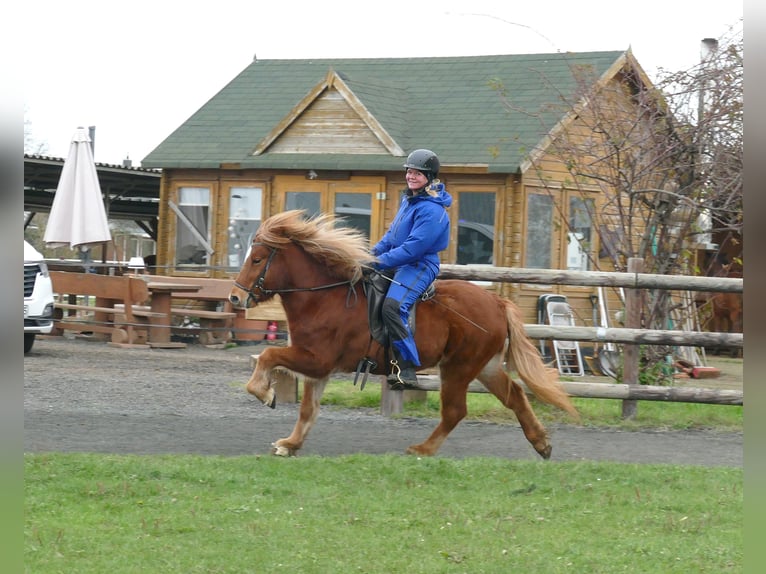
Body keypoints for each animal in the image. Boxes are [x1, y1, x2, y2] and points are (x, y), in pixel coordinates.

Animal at [229, 210, 578, 458]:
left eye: (257, 259)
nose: (234, 297)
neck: (325, 297)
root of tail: (497, 301)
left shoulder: (316, 360)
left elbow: (269, 356)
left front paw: (266, 394)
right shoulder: (318, 369)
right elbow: (307, 410)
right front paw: (290, 444)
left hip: (459, 368)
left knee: (455, 411)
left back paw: (422, 449)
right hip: (485, 366)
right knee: (515, 395)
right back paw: (541, 443)